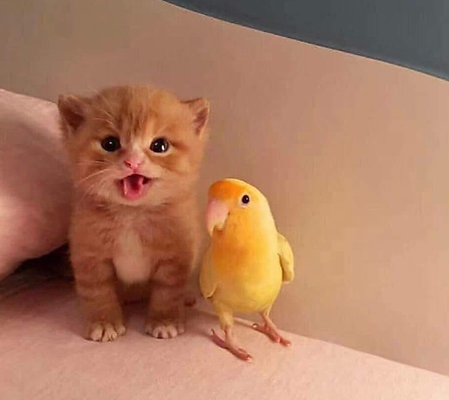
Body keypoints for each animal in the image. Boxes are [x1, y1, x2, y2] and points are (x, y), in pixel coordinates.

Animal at [58, 86, 210, 341]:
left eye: (159, 146)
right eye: (110, 143)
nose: (133, 162)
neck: (132, 214)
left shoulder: (175, 257)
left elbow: (168, 292)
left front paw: (164, 321)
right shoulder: (89, 255)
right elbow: (98, 291)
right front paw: (104, 322)